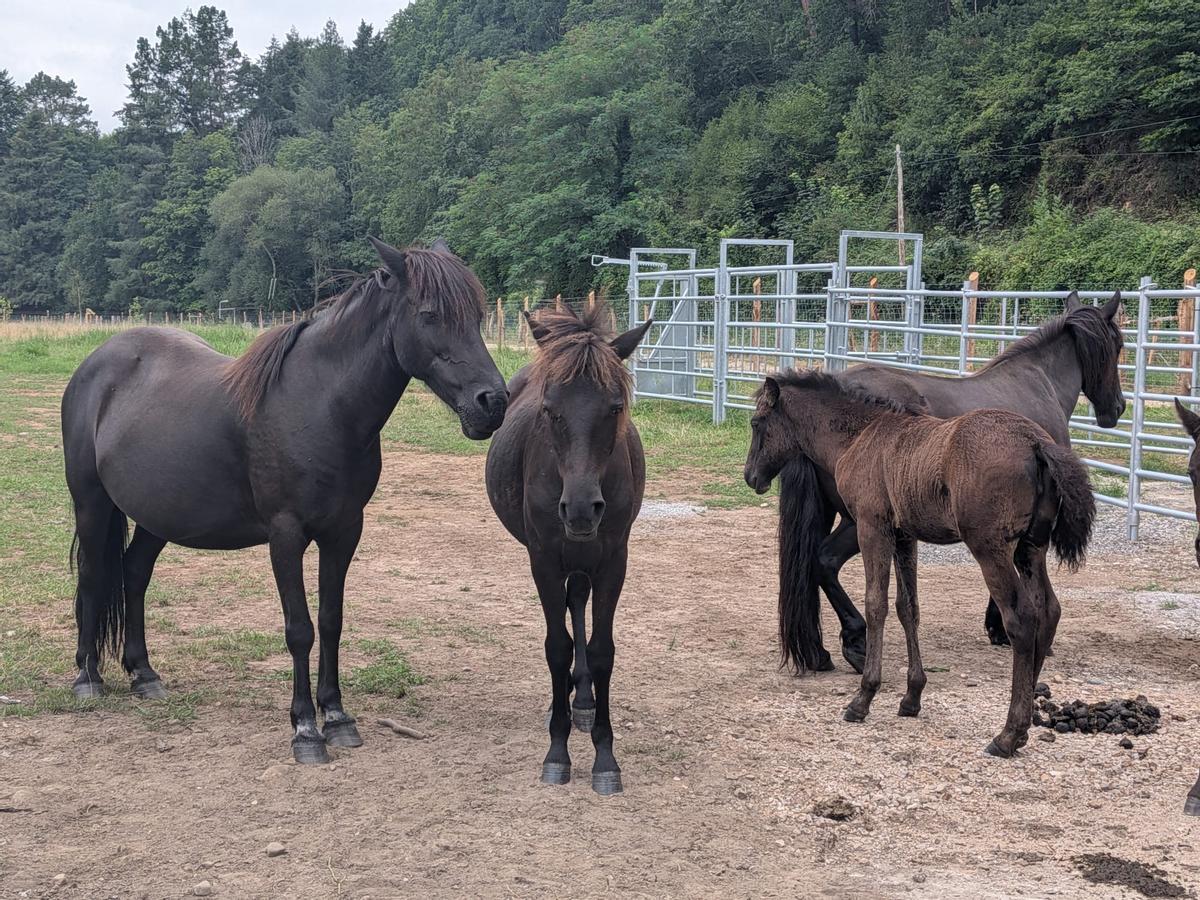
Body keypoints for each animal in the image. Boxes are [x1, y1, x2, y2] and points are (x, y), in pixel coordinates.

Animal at [61, 237, 509, 764]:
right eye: (430, 314)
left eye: (478, 316)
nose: (493, 403)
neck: (320, 406)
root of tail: (96, 364)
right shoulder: (286, 534)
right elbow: (300, 629)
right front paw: (306, 730)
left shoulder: (344, 532)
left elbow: (332, 622)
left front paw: (338, 718)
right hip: (91, 503)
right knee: (93, 576)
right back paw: (87, 677)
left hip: (159, 515)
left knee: (133, 574)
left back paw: (144, 674)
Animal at [485, 302, 650, 794]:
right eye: (549, 409)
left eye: (615, 407)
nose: (580, 509)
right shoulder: (543, 560)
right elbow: (557, 646)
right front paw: (557, 752)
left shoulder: (614, 561)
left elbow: (601, 650)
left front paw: (605, 757)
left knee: (578, 602)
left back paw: (584, 700)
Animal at [745, 370, 1096, 756]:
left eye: (756, 423)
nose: (751, 476)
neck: (861, 436)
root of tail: (1034, 442)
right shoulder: (904, 537)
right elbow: (907, 608)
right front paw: (911, 697)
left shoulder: (872, 528)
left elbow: (877, 605)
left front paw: (863, 698)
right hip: (1030, 549)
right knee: (1049, 610)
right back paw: (1023, 726)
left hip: (990, 549)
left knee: (1022, 619)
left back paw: (1007, 734)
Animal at [780, 292, 1124, 674]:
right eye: (1119, 345)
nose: (1118, 408)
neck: (1037, 383)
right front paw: (1001, 628)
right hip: (862, 521)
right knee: (825, 561)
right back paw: (855, 642)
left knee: (814, 566)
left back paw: (821, 651)